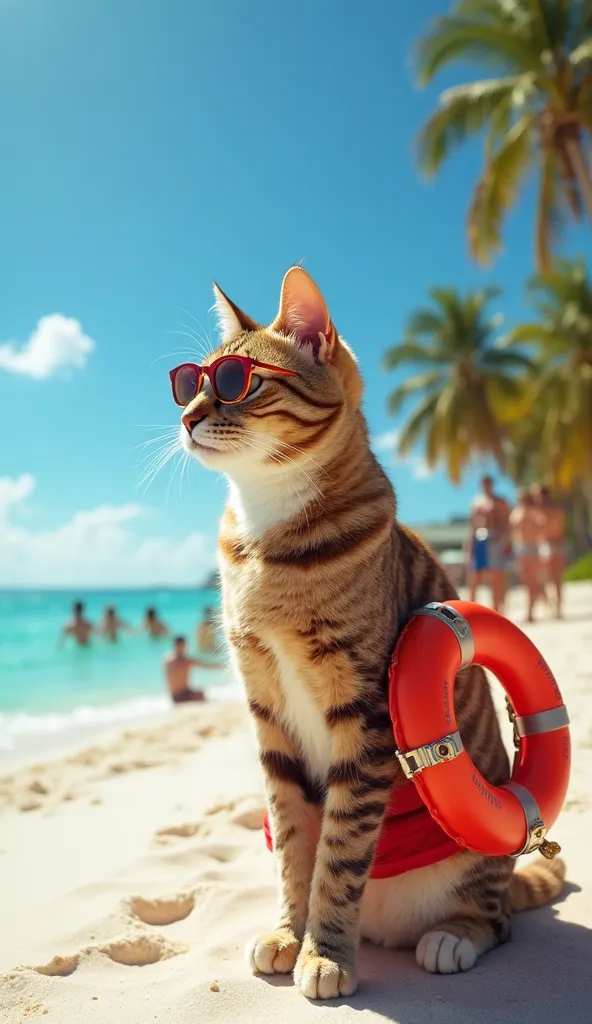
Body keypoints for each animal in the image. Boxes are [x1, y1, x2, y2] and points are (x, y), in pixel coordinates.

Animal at [175, 266, 561, 999]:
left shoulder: (364, 715)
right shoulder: (268, 711)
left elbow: (340, 853)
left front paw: (324, 952)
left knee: (497, 919)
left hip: (479, 869)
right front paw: (289, 933)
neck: (268, 534)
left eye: (237, 381)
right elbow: (294, 843)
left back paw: (452, 937)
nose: (185, 416)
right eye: (188, 382)